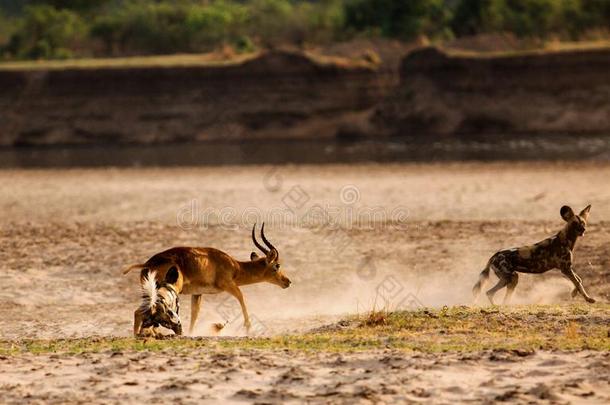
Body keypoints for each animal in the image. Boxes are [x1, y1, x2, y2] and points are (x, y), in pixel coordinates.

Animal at [123, 221, 290, 334]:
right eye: (277, 265)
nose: (287, 281)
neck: (234, 266)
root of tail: (148, 263)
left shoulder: (197, 293)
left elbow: (194, 314)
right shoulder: (228, 285)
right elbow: (241, 297)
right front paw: (248, 328)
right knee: (141, 312)